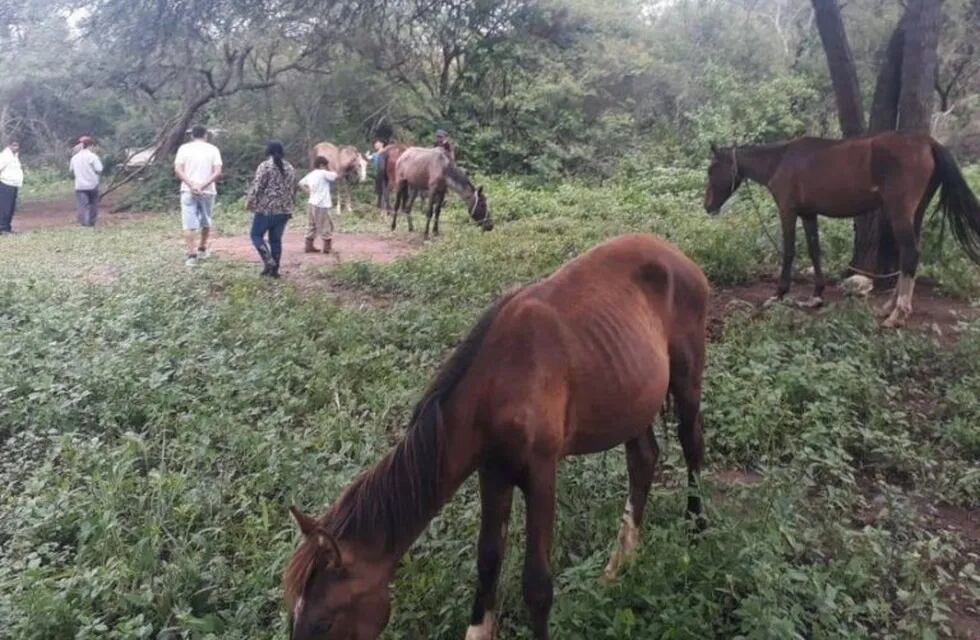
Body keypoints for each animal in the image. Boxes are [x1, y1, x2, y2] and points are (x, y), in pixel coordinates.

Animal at [288, 234, 708, 640]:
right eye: (295, 615)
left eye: (324, 622)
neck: (497, 385)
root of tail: (676, 254)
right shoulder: (492, 471)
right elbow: (488, 559)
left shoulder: (541, 474)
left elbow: (537, 586)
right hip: (632, 398)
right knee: (643, 459)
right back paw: (620, 563)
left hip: (686, 379)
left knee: (692, 447)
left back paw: (698, 532)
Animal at [704, 132, 980, 328]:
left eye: (711, 169)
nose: (708, 206)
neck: (780, 160)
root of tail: (927, 142)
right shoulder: (808, 214)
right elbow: (814, 251)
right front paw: (816, 296)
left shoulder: (788, 211)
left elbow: (790, 251)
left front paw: (779, 294)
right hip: (916, 213)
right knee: (908, 255)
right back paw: (888, 307)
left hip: (900, 212)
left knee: (910, 253)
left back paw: (898, 314)